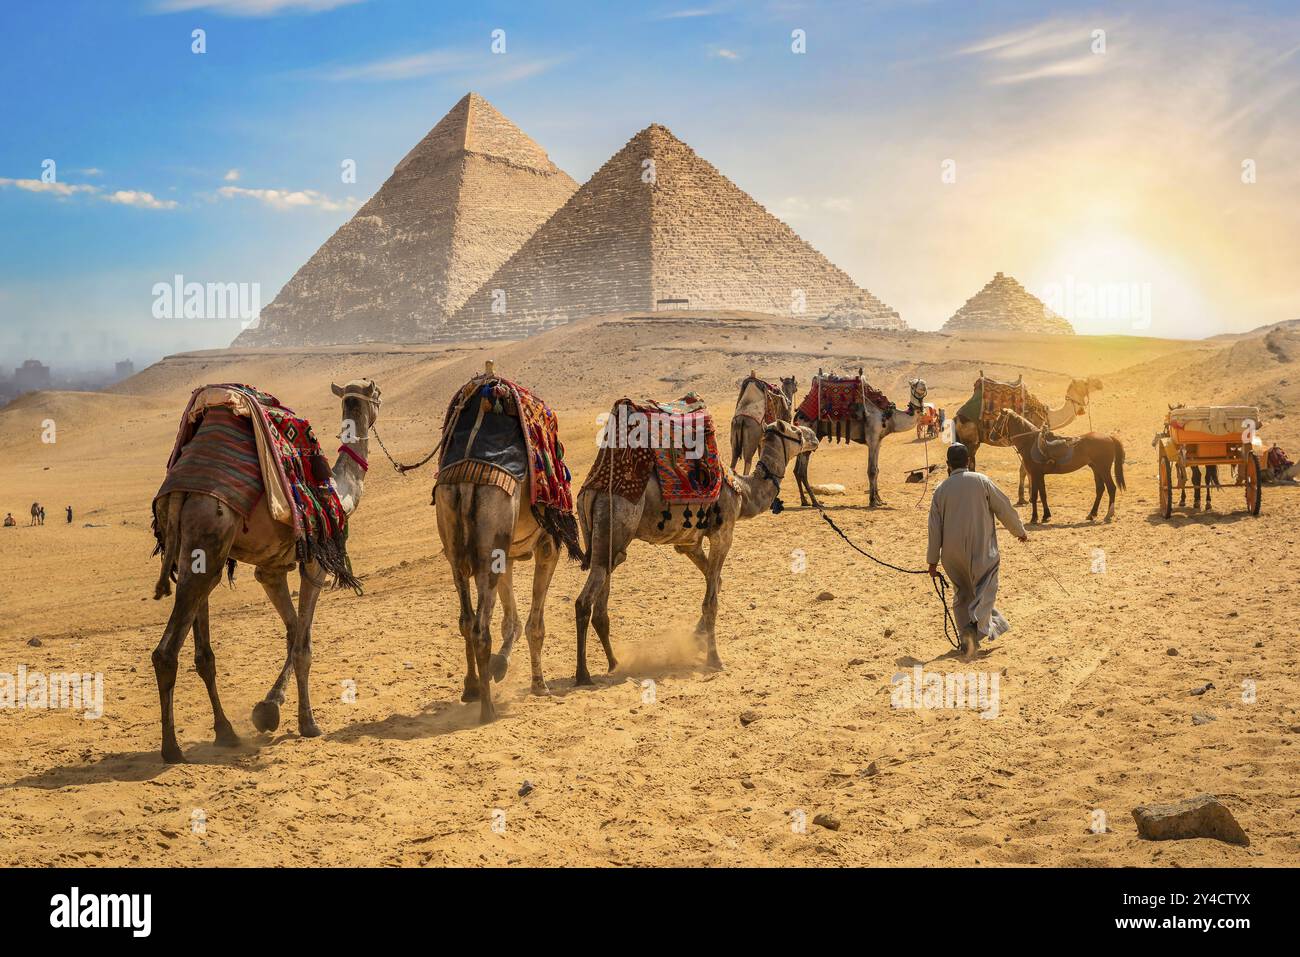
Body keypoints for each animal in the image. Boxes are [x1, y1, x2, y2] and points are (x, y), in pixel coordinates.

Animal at [150, 377, 379, 759]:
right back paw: (172, 749)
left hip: (192, 556)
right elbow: (303, 645)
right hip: (210, 537)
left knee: (204, 654)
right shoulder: (315, 563)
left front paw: (269, 708)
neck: (340, 491)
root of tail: (183, 490)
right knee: (166, 653)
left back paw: (225, 732)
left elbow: (294, 632)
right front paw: (305, 723)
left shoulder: (270, 571)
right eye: (377, 395)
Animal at [577, 418, 811, 681]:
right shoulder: (723, 534)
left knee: (600, 604)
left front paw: (697, 638)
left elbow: (716, 582)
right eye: (796, 430)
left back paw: (614, 663)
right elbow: (711, 601)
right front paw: (714, 658)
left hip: (604, 543)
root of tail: (590, 491)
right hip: (615, 520)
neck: (743, 491)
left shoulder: (689, 542)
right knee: (584, 601)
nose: (814, 437)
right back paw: (582, 673)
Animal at [785, 374, 930, 512]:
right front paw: (872, 501)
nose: (923, 387)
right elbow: (872, 470)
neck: (889, 416)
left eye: (923, 382)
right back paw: (815, 502)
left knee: (797, 470)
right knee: (802, 471)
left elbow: (877, 469)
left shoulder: (878, 441)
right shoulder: (872, 438)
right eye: (914, 384)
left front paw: (880, 500)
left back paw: (805, 501)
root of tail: (798, 414)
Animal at [956, 374, 1097, 509]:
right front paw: (1025, 498)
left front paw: (1029, 496)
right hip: (971, 440)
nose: (1098, 384)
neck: (1048, 416)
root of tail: (958, 416)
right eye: (1085, 383)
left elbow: (1025, 469)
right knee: (969, 464)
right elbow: (1025, 470)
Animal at [987, 405, 1123, 522]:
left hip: (1104, 469)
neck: (1030, 442)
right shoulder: (1039, 475)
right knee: (1100, 489)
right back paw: (1092, 514)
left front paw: (1034, 518)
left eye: (999, 420)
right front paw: (1046, 516)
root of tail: (1109, 437)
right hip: (1095, 468)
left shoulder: (1035, 474)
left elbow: (1035, 496)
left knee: (1111, 488)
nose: (991, 436)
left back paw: (1108, 514)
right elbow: (1043, 494)